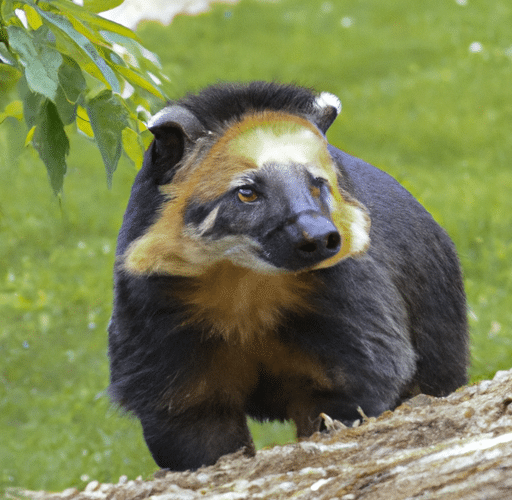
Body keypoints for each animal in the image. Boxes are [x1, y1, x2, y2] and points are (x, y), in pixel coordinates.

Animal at [109, 80, 468, 470]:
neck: (246, 288)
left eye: (317, 183)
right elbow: (189, 426)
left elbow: (358, 388)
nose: (320, 237)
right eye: (247, 192)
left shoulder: (351, 304)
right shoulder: (155, 325)